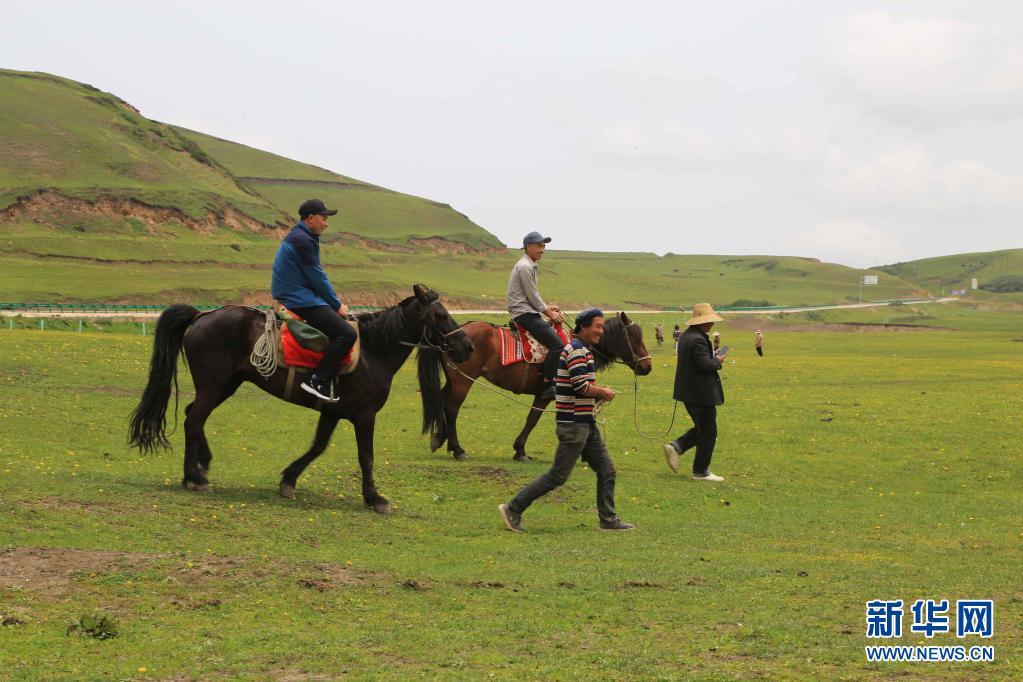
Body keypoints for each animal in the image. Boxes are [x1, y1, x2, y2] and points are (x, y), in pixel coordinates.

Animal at [128, 282, 474, 511]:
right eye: (440, 315)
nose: (468, 347)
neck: (373, 351)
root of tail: (202, 316)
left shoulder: (333, 411)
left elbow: (317, 446)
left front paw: (288, 480)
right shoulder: (364, 415)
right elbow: (366, 456)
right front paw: (374, 498)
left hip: (225, 385)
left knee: (192, 415)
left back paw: (202, 463)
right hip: (215, 385)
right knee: (194, 420)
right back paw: (195, 477)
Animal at [425, 312, 654, 462]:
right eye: (634, 337)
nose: (647, 366)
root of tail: (449, 337)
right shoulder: (547, 395)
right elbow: (533, 420)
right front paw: (520, 451)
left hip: (453, 380)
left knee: (441, 401)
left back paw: (438, 439)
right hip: (463, 381)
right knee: (451, 409)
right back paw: (457, 449)